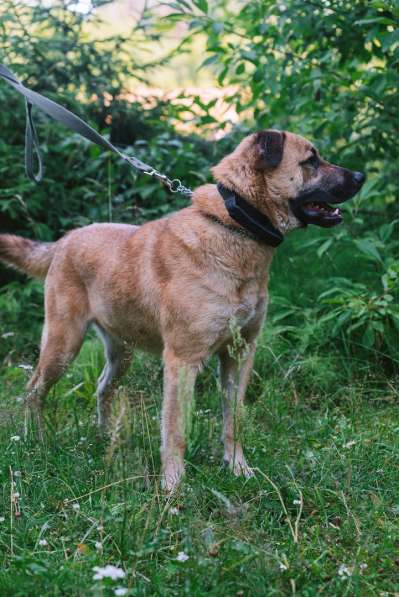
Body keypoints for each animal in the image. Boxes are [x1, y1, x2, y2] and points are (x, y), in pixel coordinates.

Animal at [0, 129, 366, 488]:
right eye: (311, 160)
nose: (361, 176)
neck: (234, 224)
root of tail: (65, 240)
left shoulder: (239, 354)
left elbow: (234, 420)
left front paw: (238, 469)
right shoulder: (182, 360)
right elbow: (175, 429)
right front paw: (173, 485)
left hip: (121, 351)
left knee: (103, 388)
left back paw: (105, 439)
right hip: (63, 343)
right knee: (33, 391)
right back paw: (35, 441)